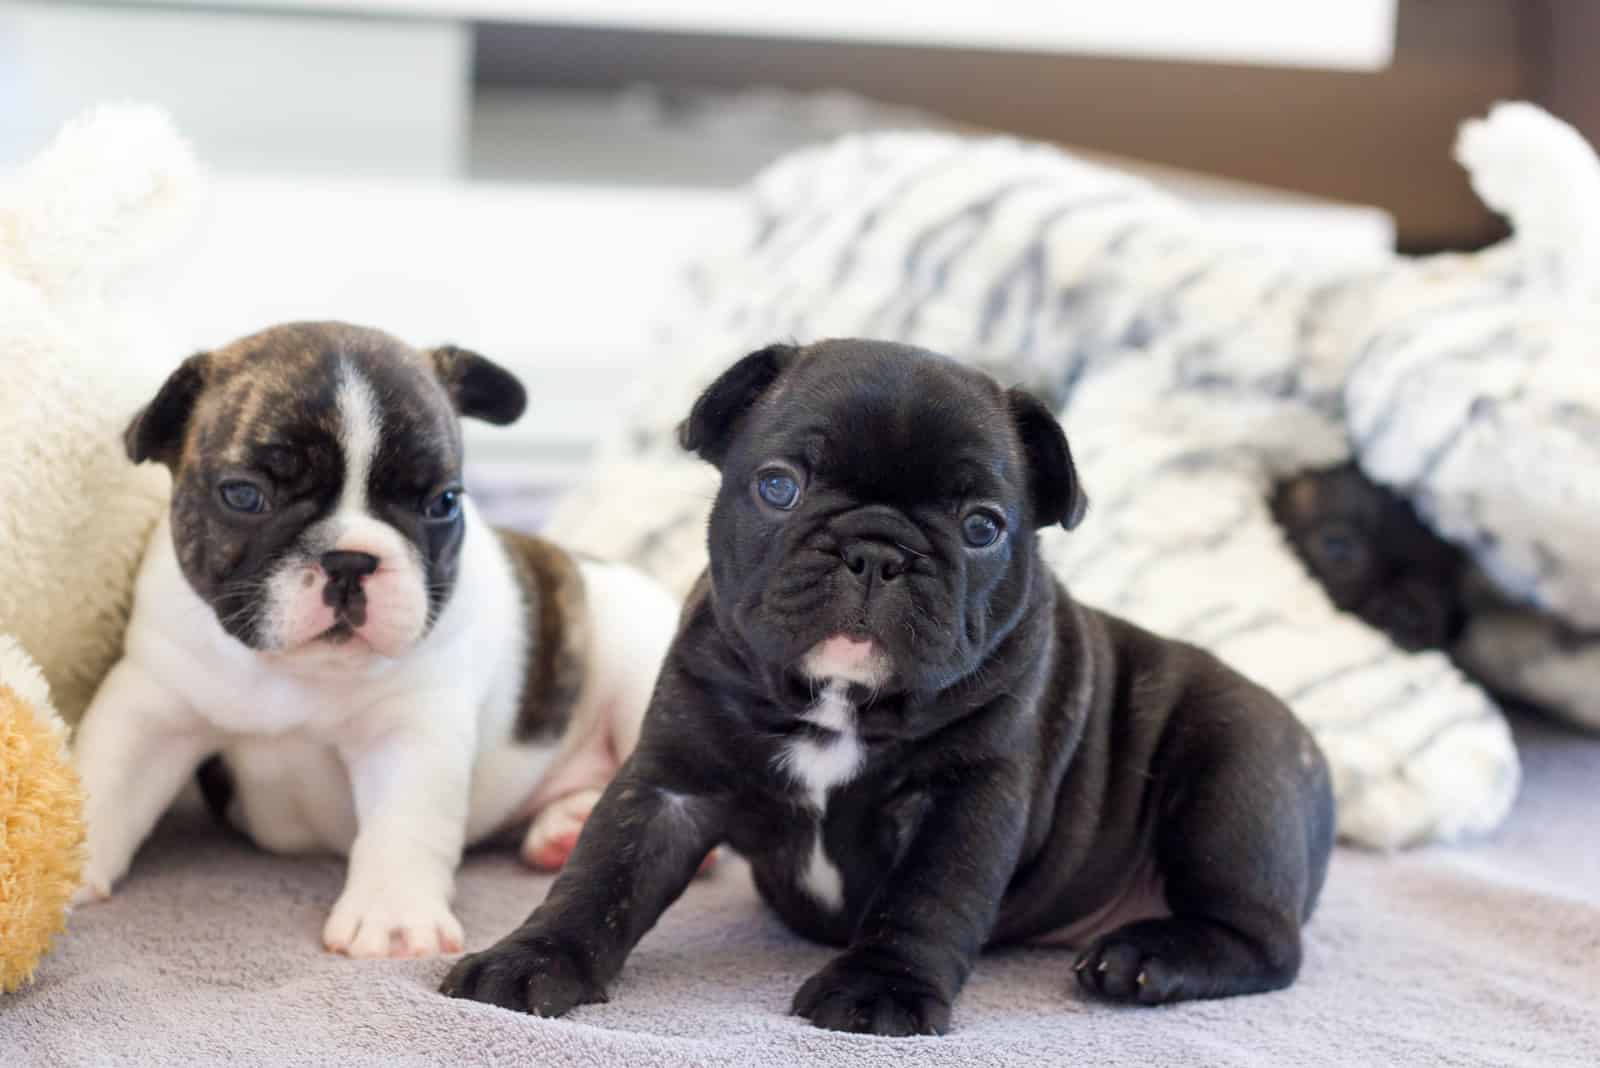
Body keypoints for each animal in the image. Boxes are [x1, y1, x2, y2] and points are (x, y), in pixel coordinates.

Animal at [73, 321, 681, 952]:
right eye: (243, 495)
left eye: (443, 502)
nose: (350, 559)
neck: (296, 671)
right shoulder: (153, 704)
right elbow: (106, 781)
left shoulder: (410, 728)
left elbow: (404, 823)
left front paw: (393, 920)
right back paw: (565, 826)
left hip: (641, 676)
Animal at [444, 340, 1331, 1036]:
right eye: (779, 486)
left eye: (982, 526)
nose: (876, 550)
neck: (837, 704)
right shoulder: (670, 780)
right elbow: (603, 874)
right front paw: (528, 959)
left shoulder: (965, 799)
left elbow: (924, 899)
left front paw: (878, 991)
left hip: (1230, 783)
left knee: (1266, 943)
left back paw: (1143, 957)